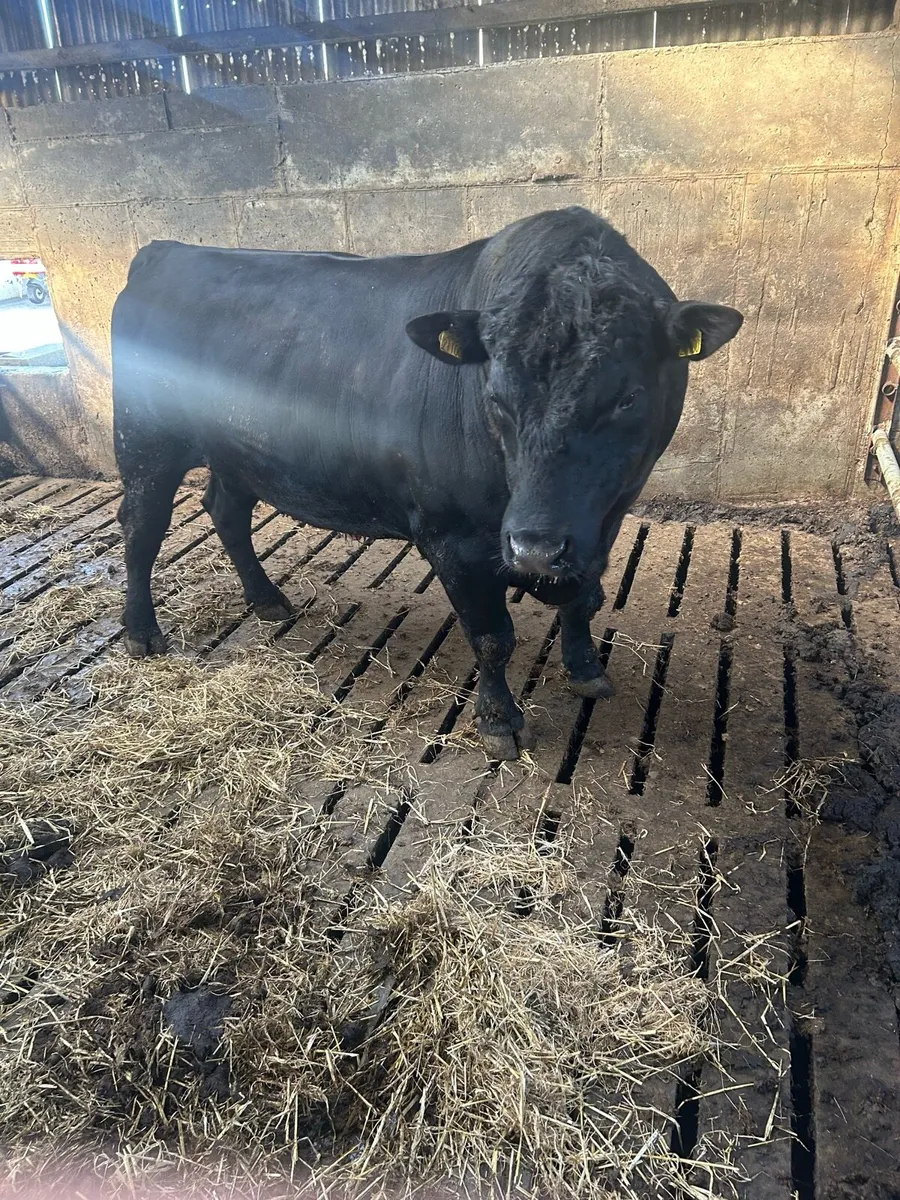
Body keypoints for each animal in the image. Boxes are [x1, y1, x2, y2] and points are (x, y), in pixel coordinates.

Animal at [112, 206, 742, 760]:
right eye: (494, 396)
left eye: (628, 397)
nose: (534, 548)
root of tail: (164, 251)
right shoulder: (453, 537)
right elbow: (492, 636)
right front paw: (499, 722)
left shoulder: (603, 522)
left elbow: (583, 601)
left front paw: (586, 669)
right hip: (145, 439)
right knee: (142, 528)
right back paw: (142, 632)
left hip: (238, 451)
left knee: (226, 510)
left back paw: (267, 599)